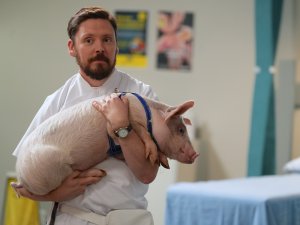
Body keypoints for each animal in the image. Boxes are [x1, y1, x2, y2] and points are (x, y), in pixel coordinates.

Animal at [16, 92, 199, 195]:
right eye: (181, 130)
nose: (195, 154)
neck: (148, 113)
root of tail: (21, 177)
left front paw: (164, 163)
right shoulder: (127, 120)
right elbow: (144, 133)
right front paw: (153, 155)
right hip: (52, 170)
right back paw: (99, 174)